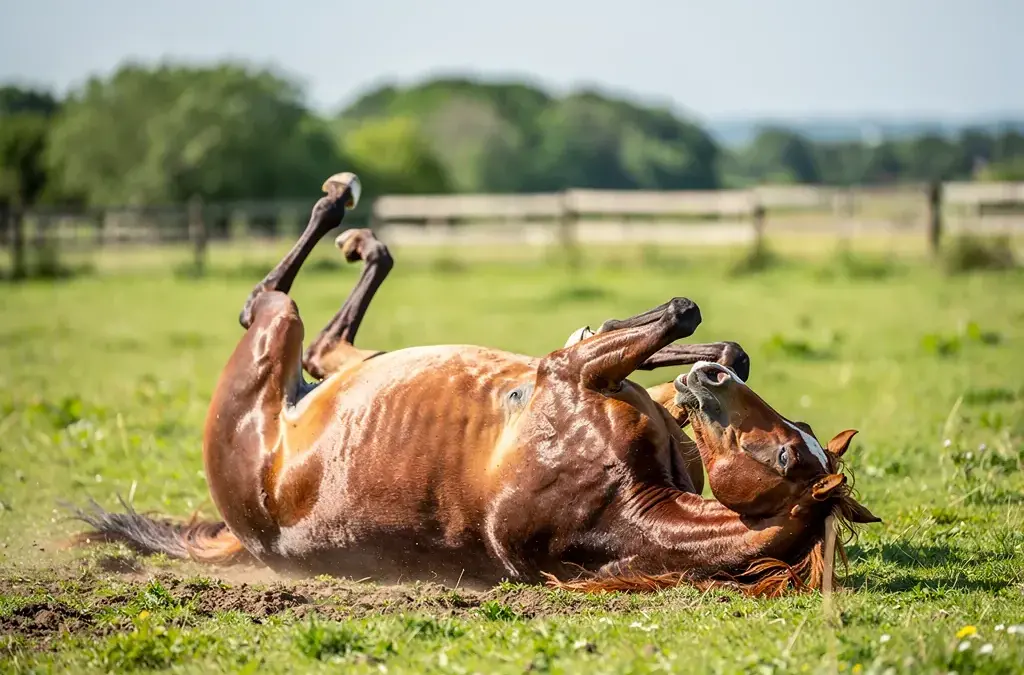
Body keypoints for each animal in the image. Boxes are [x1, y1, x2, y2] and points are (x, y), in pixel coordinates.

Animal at [72, 173, 879, 596]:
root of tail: (242, 530)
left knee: (266, 302)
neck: (622, 509)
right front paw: (692, 358)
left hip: (273, 342)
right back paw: (359, 230)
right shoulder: (595, 379)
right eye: (796, 439)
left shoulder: (570, 378)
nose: (705, 384)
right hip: (324, 359)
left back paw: (345, 211)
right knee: (326, 335)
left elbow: (667, 316)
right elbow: (680, 326)